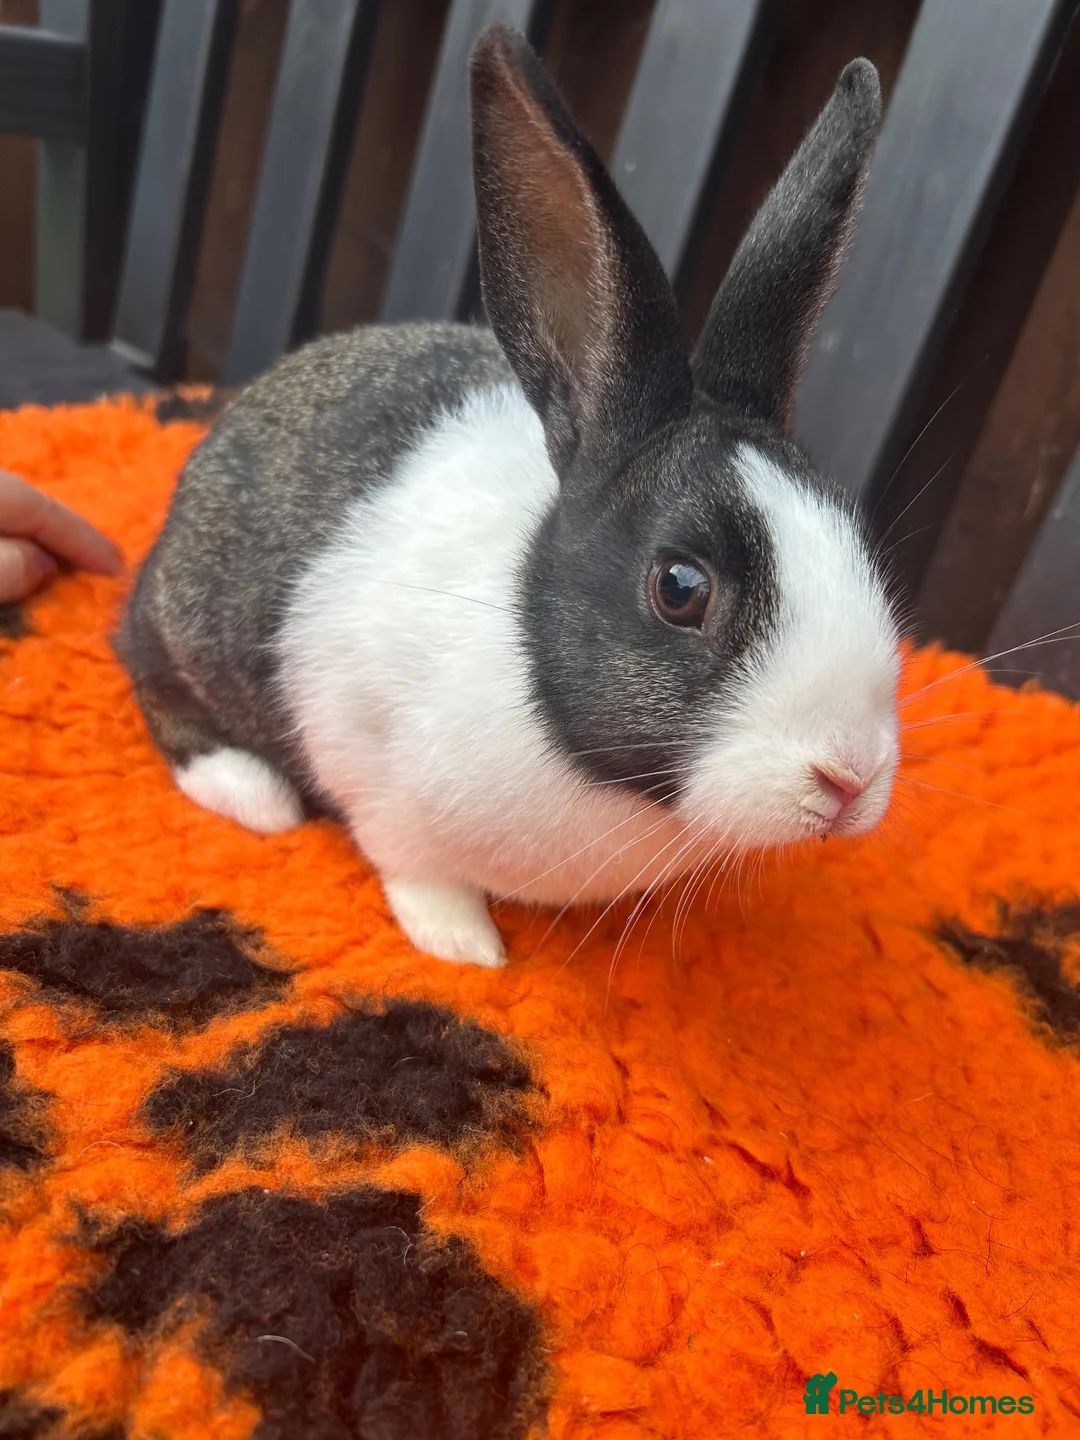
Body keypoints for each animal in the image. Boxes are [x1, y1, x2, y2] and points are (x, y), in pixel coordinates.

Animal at [119, 24, 900, 969]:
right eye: (680, 588)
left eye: (859, 538)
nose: (850, 774)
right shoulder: (373, 767)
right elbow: (416, 867)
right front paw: (466, 947)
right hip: (189, 630)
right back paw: (255, 792)